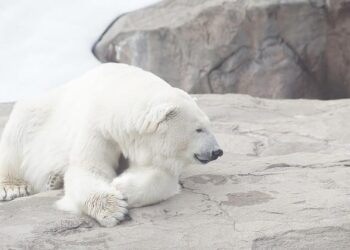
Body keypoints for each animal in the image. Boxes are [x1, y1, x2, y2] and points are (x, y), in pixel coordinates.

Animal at [0, 63, 223, 227]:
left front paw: (122, 186)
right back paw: (14, 187)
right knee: (16, 136)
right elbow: (88, 169)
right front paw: (114, 208)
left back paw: (55, 180)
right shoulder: (98, 128)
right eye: (199, 129)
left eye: (208, 124)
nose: (217, 151)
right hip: (36, 114)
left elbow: (161, 174)